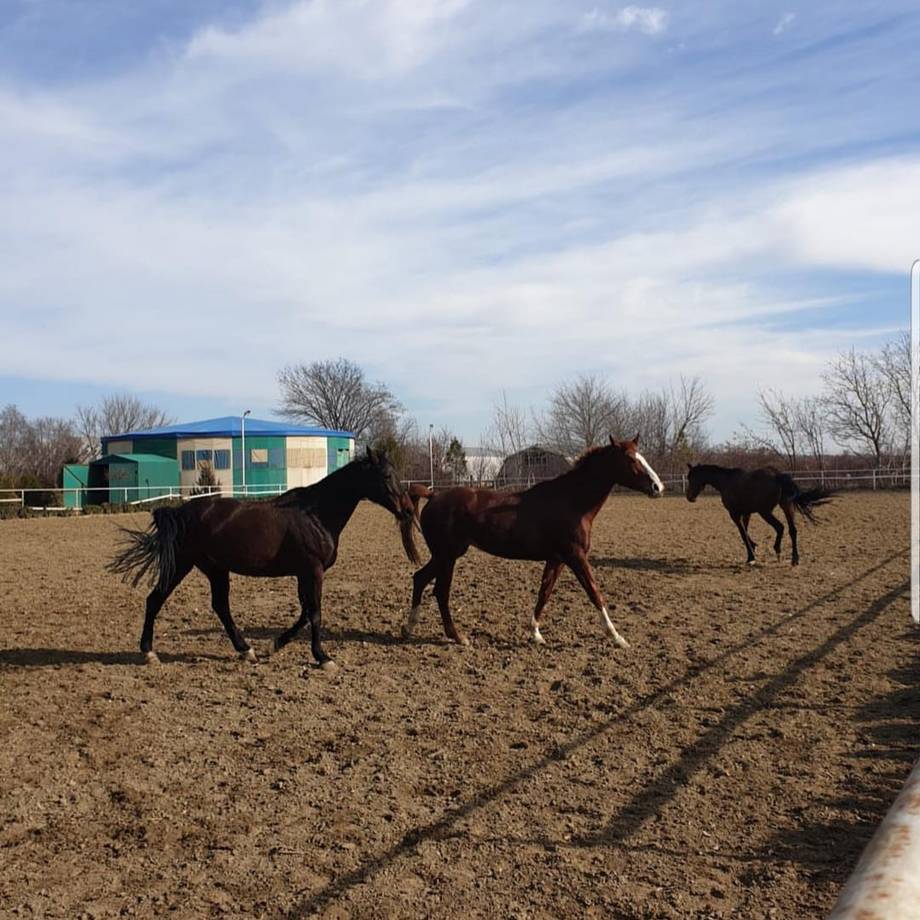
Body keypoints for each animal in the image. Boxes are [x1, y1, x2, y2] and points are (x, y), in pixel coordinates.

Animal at [108, 447, 419, 669]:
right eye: (386, 476)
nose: (407, 511)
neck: (315, 514)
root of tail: (180, 511)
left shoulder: (303, 573)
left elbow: (305, 612)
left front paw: (276, 644)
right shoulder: (313, 571)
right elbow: (315, 613)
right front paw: (322, 657)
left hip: (215, 569)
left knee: (220, 606)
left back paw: (246, 650)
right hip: (182, 564)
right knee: (156, 599)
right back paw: (149, 653)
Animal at [402, 436, 664, 648]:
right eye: (630, 459)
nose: (657, 487)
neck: (571, 501)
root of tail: (434, 495)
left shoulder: (558, 559)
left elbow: (544, 593)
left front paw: (535, 633)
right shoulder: (576, 557)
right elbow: (594, 593)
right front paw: (617, 638)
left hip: (446, 555)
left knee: (420, 578)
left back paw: (409, 627)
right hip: (447, 556)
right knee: (440, 591)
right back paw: (458, 637)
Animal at [685, 463, 833, 566]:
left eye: (691, 478)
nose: (689, 497)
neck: (726, 482)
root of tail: (777, 475)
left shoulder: (734, 514)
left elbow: (742, 533)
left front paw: (751, 555)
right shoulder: (746, 513)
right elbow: (746, 531)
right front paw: (752, 551)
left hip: (765, 512)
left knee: (780, 527)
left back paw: (778, 550)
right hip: (787, 507)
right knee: (792, 530)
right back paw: (794, 559)